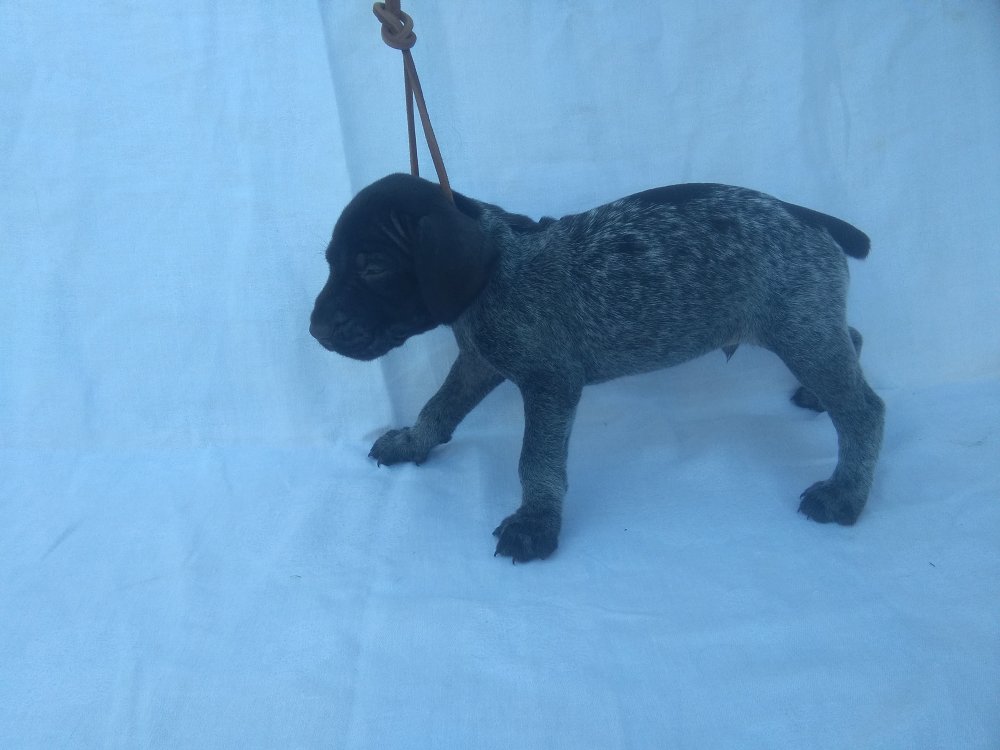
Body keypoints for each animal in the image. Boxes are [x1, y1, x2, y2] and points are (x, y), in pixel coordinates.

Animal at [310, 173, 884, 562]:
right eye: (332, 262)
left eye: (372, 266)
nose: (315, 330)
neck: (499, 267)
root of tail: (806, 214)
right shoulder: (478, 360)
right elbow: (439, 405)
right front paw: (414, 441)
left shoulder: (550, 382)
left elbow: (535, 460)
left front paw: (536, 522)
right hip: (804, 323)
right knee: (852, 339)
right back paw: (816, 397)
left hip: (796, 326)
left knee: (865, 410)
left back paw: (844, 492)